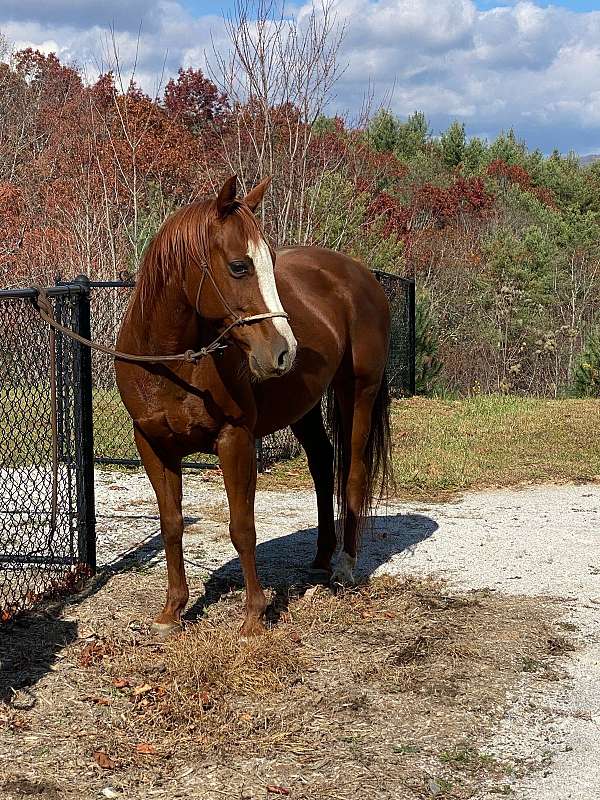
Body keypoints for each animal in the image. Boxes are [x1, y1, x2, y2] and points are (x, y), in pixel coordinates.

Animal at [116, 177, 394, 636]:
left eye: (271, 261)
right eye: (238, 266)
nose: (284, 351)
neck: (173, 365)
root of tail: (360, 274)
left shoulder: (236, 441)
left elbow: (242, 528)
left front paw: (254, 617)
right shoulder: (153, 445)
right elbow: (171, 524)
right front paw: (172, 611)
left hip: (358, 393)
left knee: (352, 472)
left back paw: (344, 567)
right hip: (304, 408)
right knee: (322, 465)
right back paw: (321, 558)